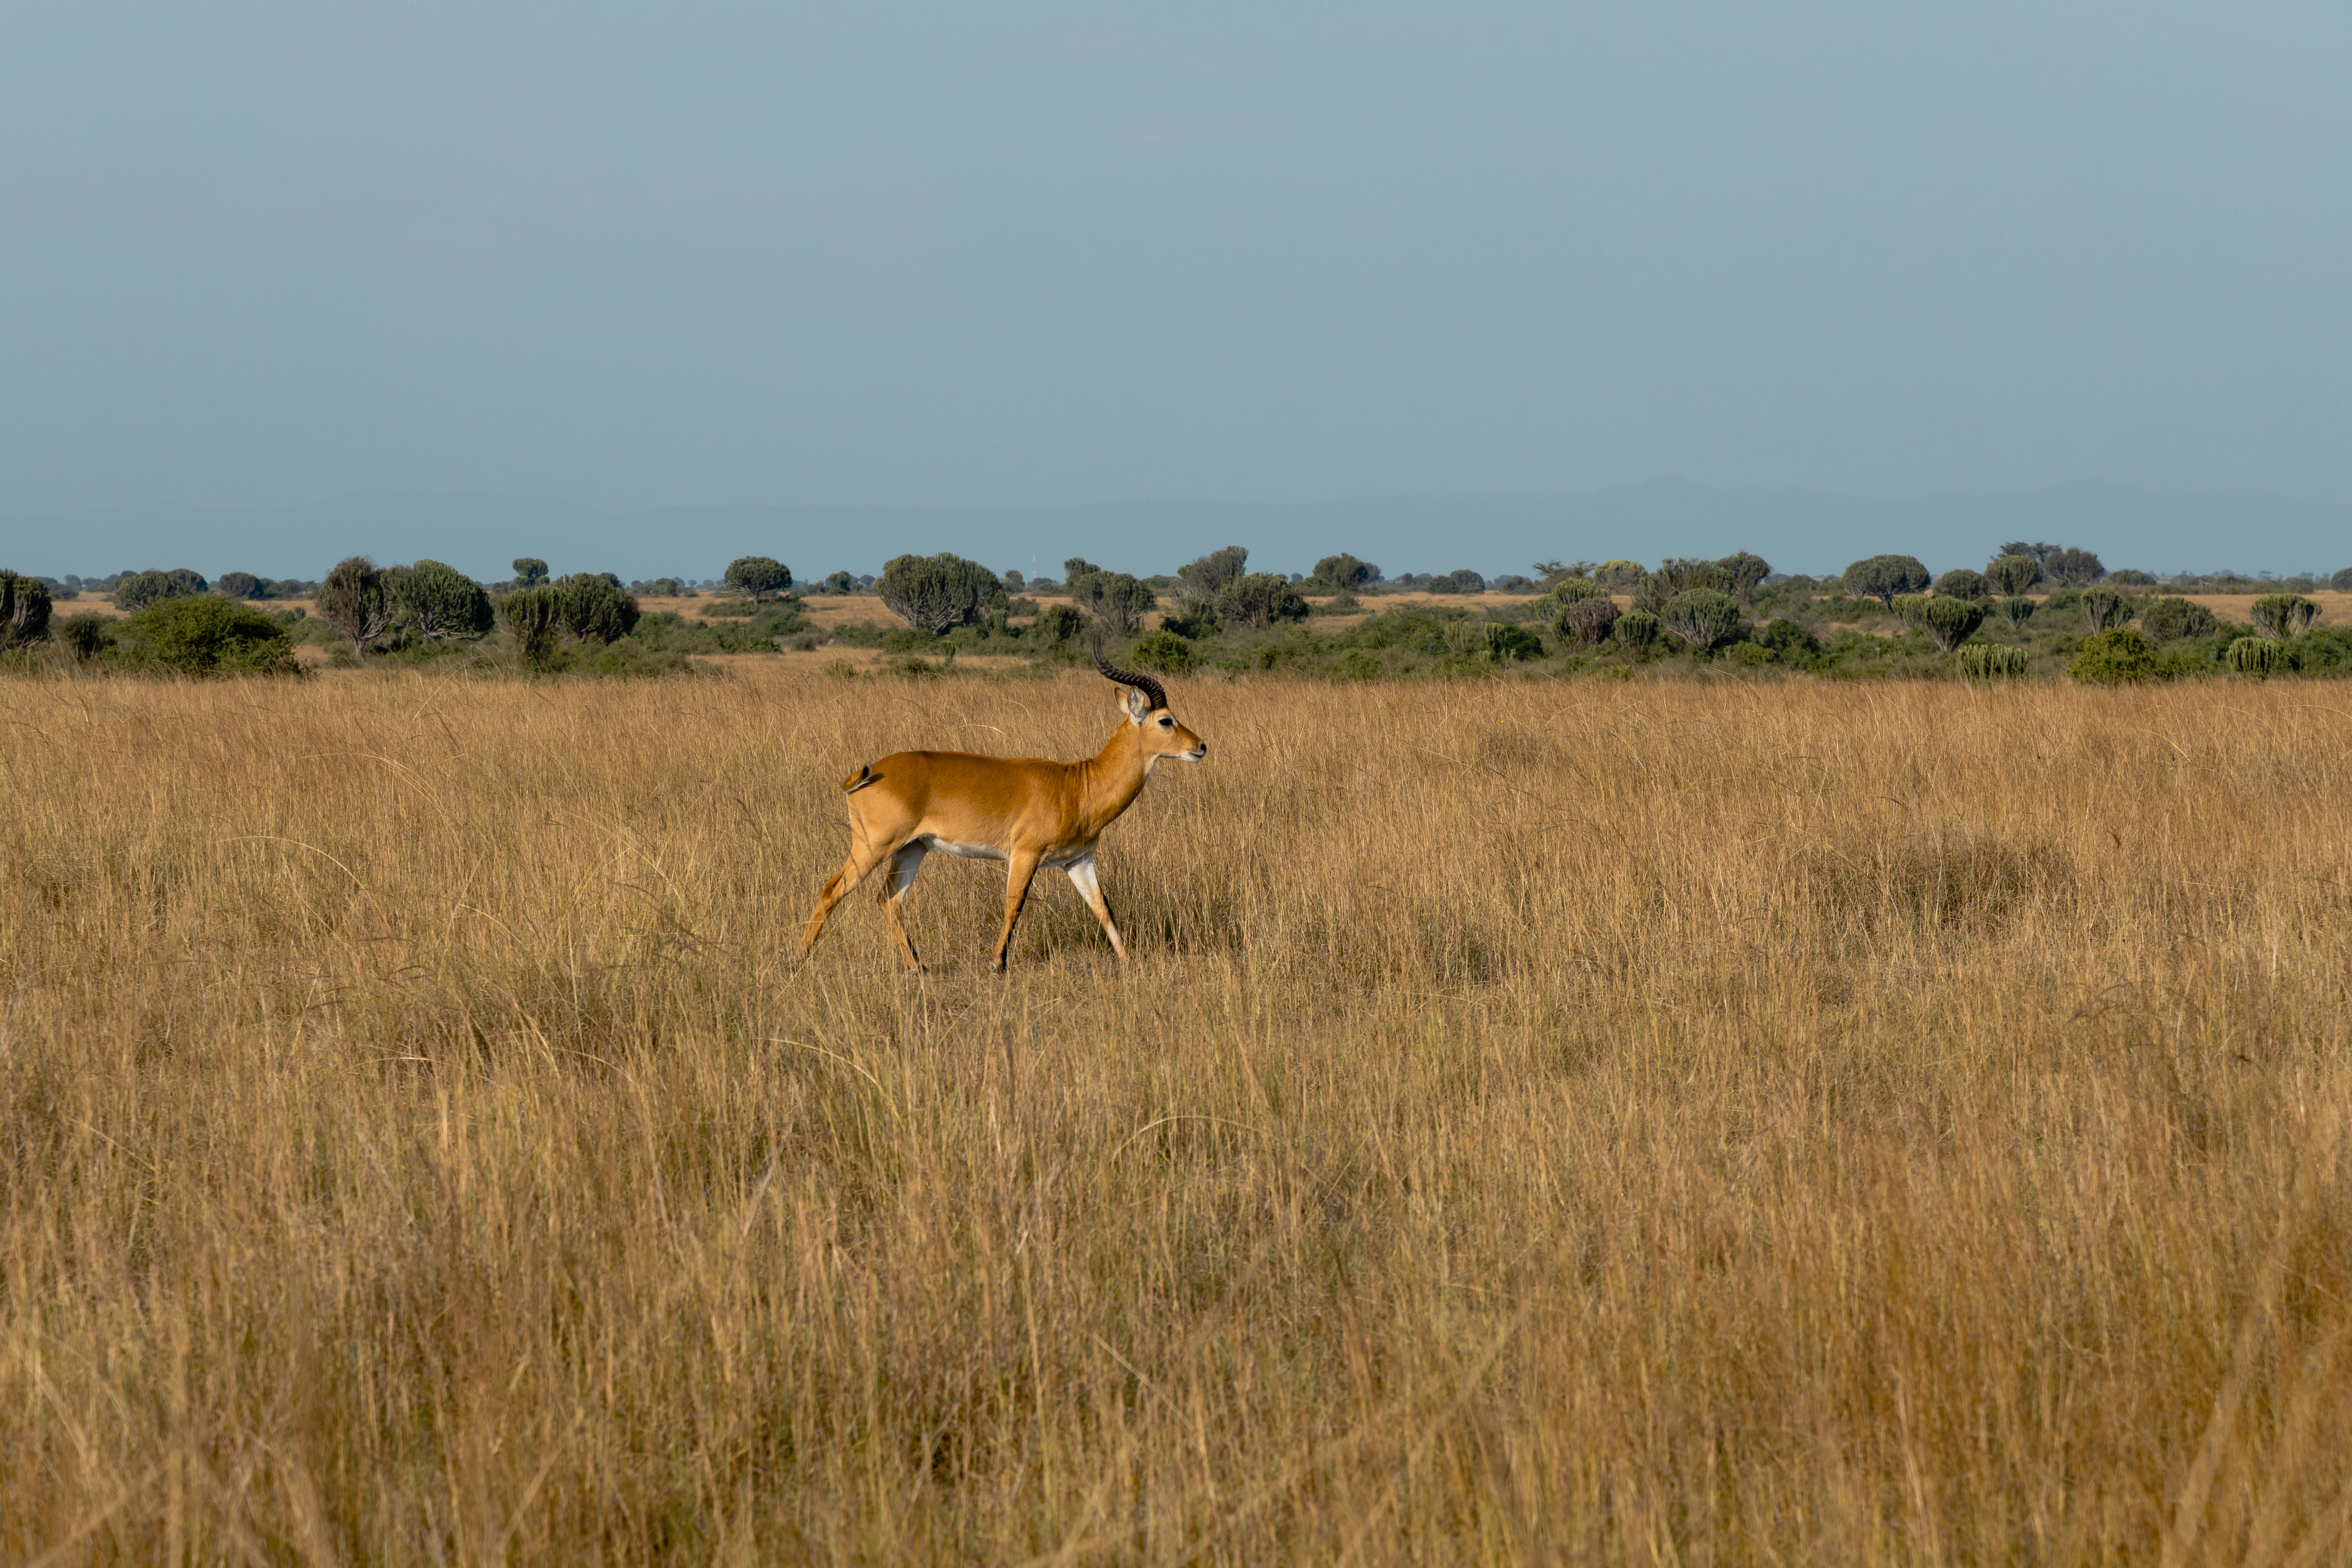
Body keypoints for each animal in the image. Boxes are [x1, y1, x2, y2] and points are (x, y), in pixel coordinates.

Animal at [797, 649, 1208, 972]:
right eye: (1166, 720)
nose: (1201, 746)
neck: (1078, 786)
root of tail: (863, 775)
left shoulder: (1078, 860)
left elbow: (1102, 908)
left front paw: (1128, 962)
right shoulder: (1025, 854)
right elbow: (1014, 906)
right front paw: (997, 964)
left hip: (912, 849)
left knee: (889, 900)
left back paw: (919, 967)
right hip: (875, 846)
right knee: (832, 889)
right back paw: (796, 960)